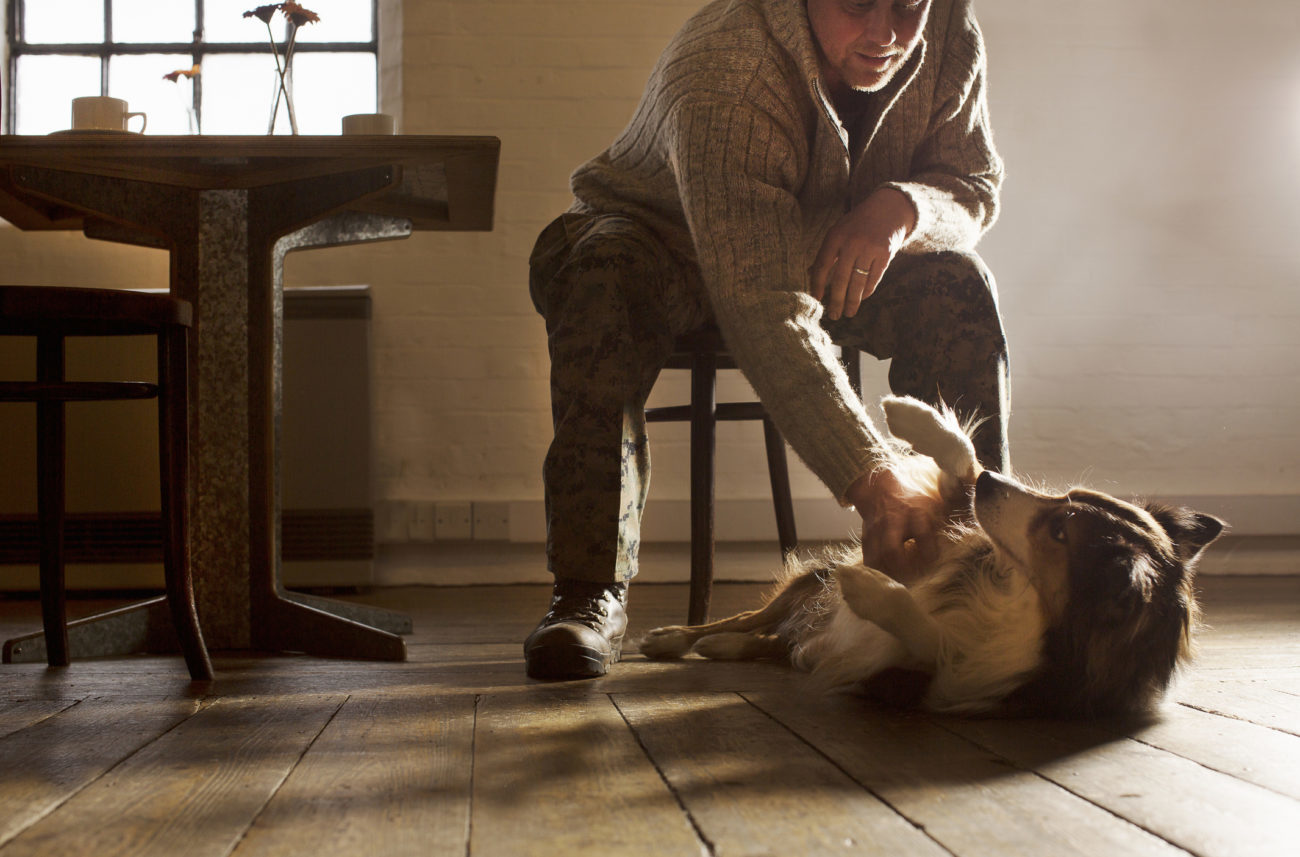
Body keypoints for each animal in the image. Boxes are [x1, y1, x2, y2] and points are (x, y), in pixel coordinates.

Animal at [644, 397, 1222, 717]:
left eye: (1060, 531)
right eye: (1067, 496)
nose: (994, 481)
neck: (1017, 592)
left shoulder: (923, 681)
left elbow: (929, 638)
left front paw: (872, 589)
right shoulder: (939, 539)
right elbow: (959, 465)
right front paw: (909, 414)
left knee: (769, 640)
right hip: (805, 582)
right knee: (746, 617)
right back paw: (680, 637)